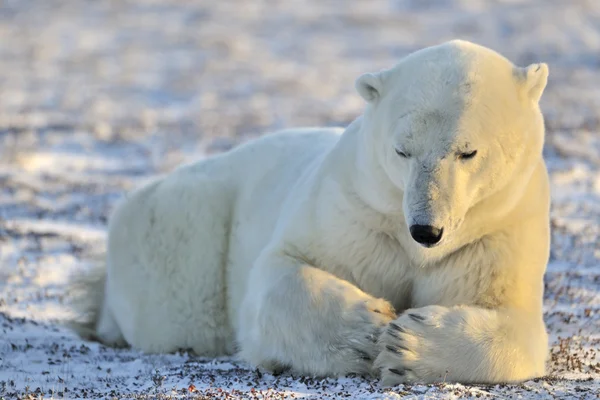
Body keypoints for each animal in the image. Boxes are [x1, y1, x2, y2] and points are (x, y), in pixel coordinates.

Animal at [70, 39, 548, 386]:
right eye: (402, 150)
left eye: (468, 152)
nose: (425, 230)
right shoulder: (354, 211)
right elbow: (281, 269)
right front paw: (369, 330)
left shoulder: (499, 232)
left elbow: (519, 326)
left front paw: (406, 345)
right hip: (182, 237)